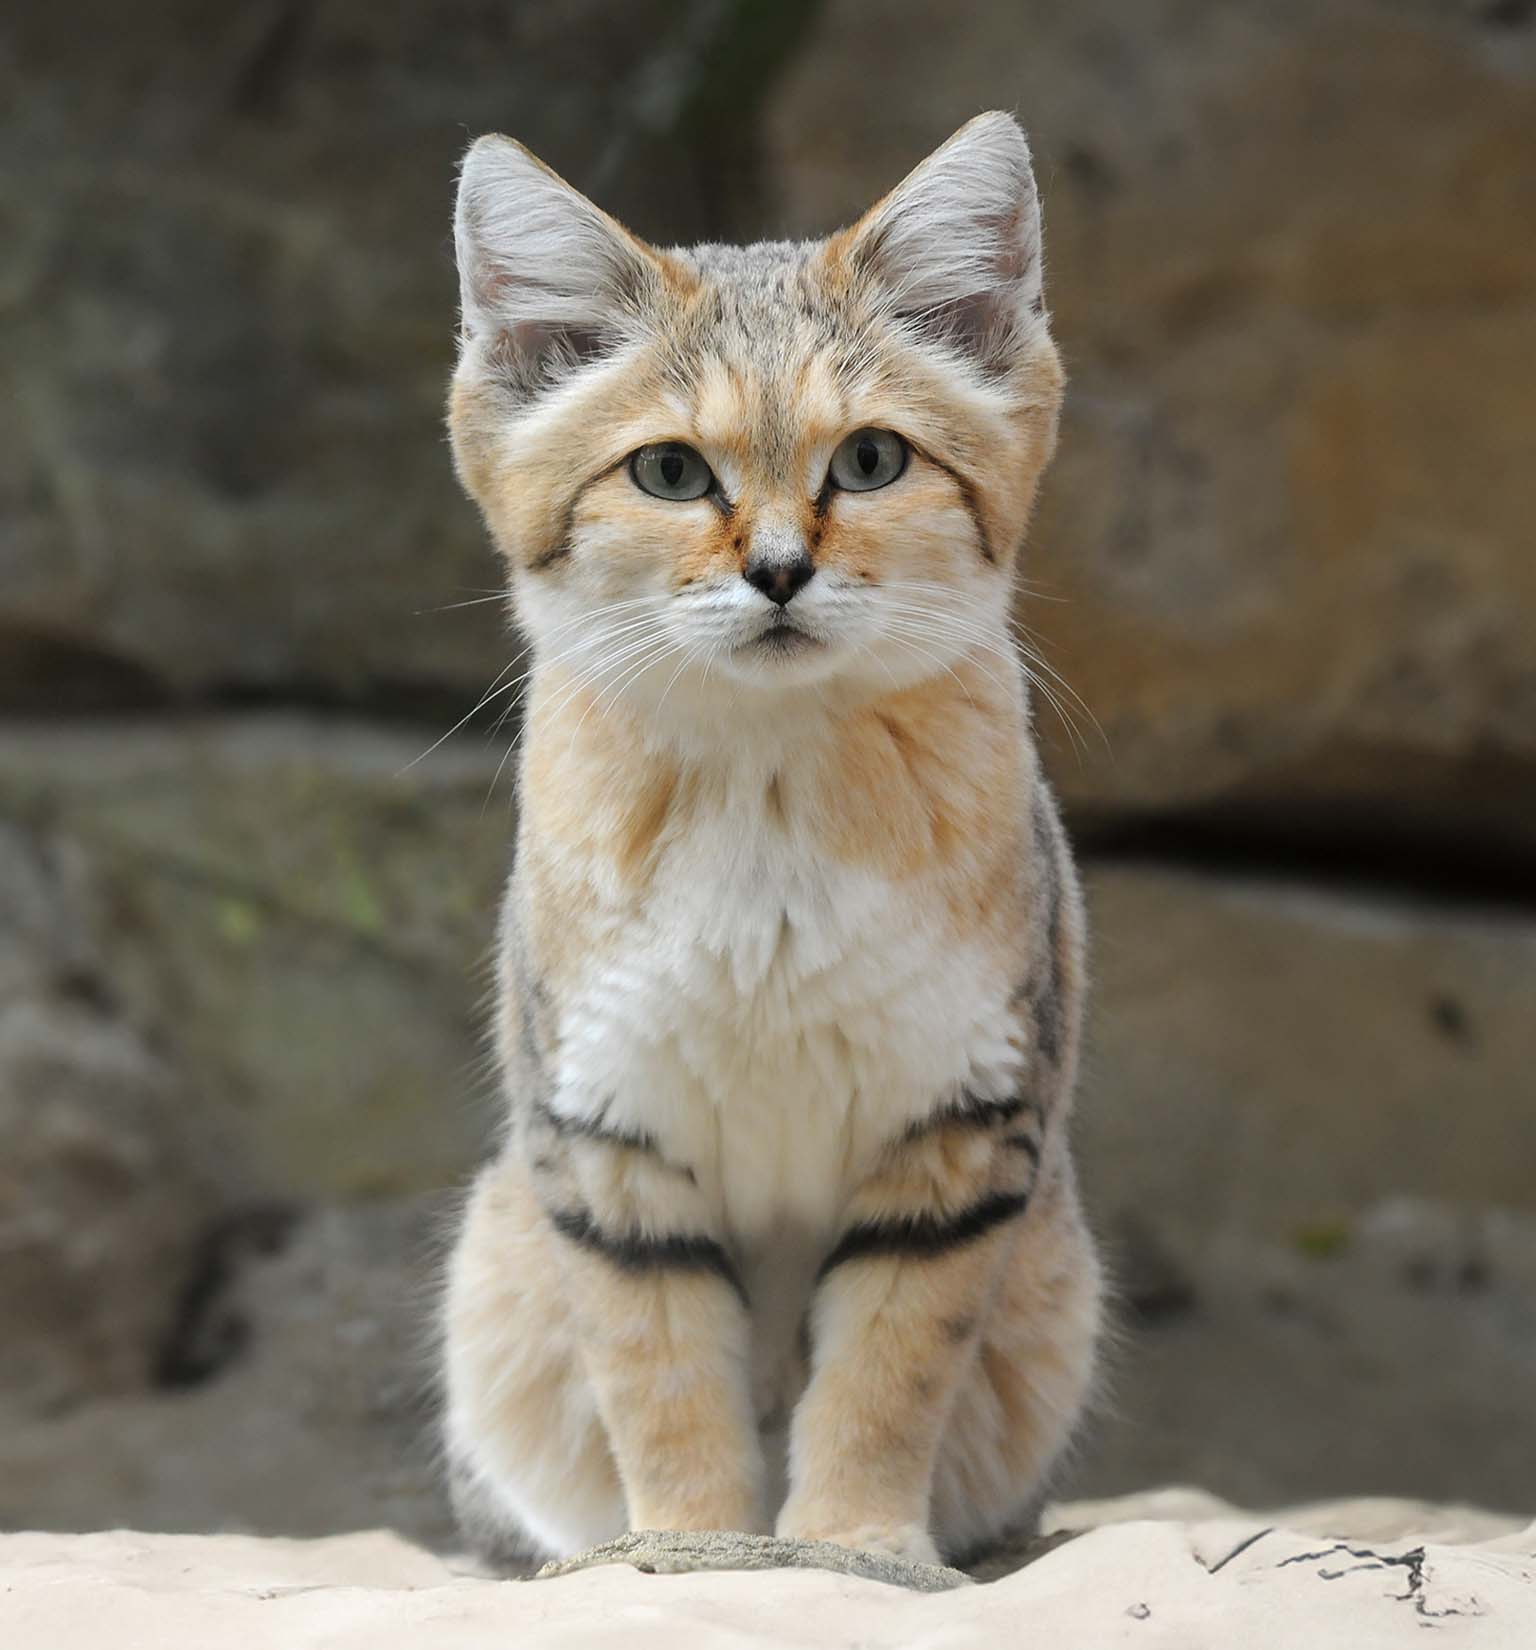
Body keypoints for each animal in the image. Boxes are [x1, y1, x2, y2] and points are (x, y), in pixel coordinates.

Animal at [438, 113, 1102, 1557]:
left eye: (872, 460)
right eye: (670, 471)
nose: (782, 571)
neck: (771, 791)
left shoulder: (960, 1128)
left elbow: (884, 1377)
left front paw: (857, 1547)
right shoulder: (609, 1142)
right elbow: (664, 1383)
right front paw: (686, 1552)